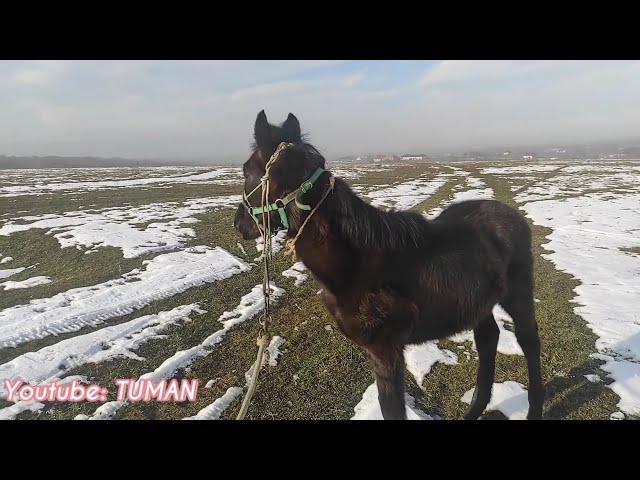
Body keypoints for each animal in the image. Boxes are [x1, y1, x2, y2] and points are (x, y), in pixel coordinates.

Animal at [232, 110, 544, 418]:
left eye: (246, 170)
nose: (239, 224)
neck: (359, 263)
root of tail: (511, 214)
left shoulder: (385, 351)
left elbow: (391, 407)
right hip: (478, 303)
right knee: (488, 338)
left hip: (518, 294)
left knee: (529, 341)